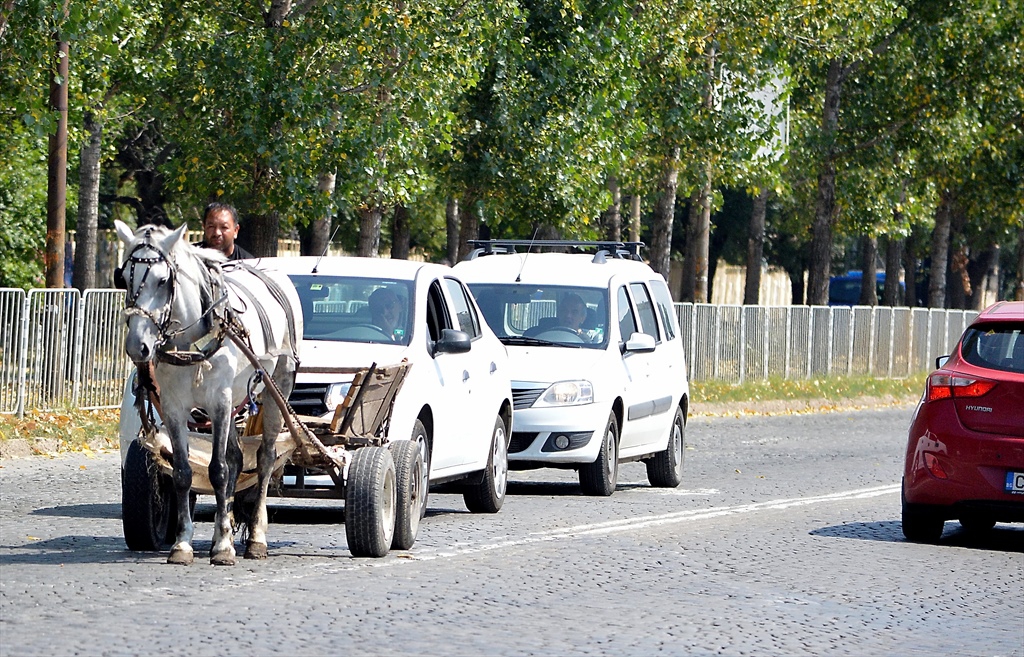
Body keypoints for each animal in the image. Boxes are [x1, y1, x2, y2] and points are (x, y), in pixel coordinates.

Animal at [115, 221, 301, 564]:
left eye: (163, 280)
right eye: (124, 278)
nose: (138, 346)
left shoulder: (220, 402)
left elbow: (218, 470)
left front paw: (225, 547)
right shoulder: (174, 407)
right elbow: (183, 472)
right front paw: (183, 543)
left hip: (277, 385)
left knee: (265, 457)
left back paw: (256, 538)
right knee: (237, 458)